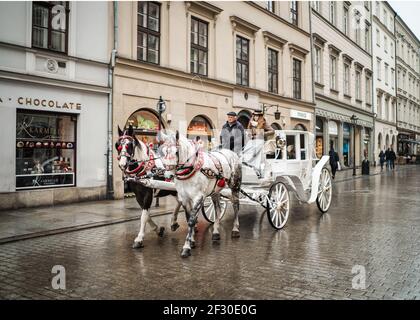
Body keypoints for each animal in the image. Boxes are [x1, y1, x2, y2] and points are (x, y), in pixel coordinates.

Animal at [159, 130, 241, 258]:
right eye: (163, 152)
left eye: (176, 152)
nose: (168, 175)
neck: (192, 169)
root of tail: (231, 153)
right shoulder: (185, 198)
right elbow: (189, 218)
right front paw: (192, 241)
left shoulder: (198, 197)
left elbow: (192, 220)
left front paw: (186, 247)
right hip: (215, 191)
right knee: (217, 209)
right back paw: (216, 232)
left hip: (235, 186)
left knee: (236, 205)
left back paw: (235, 229)